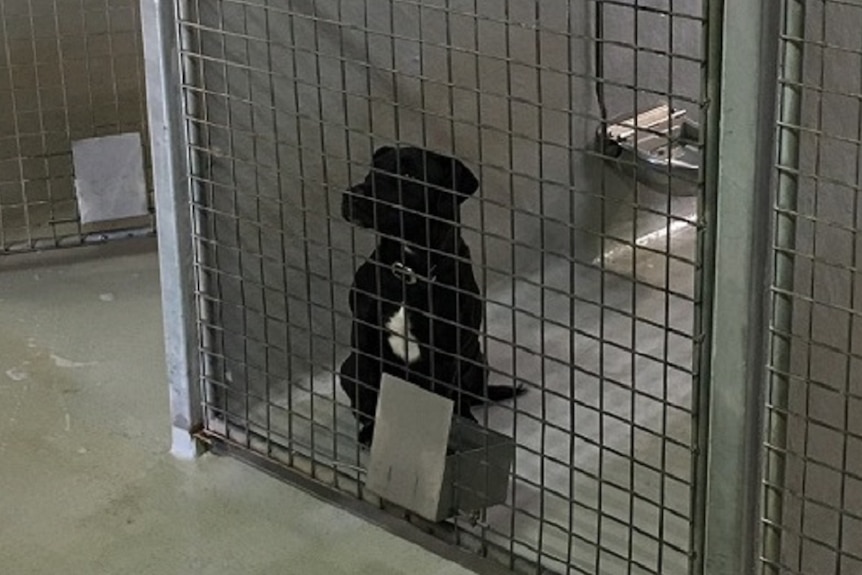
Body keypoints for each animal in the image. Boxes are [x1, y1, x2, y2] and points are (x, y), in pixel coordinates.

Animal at [340, 147, 524, 446]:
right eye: (372, 170)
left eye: (409, 175)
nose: (353, 194)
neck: (409, 271)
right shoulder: (365, 339)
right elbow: (373, 389)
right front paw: (373, 431)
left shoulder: (447, 352)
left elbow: (443, 396)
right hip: (348, 367)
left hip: (476, 362)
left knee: (462, 400)